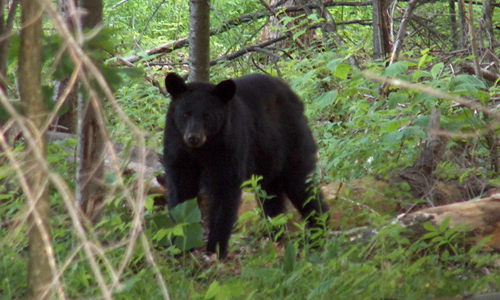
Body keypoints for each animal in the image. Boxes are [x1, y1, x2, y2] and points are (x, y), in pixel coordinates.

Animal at [164, 72, 328, 258]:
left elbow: (225, 193)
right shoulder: (177, 149)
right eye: (185, 114)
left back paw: (318, 233)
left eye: (207, 115)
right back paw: (273, 233)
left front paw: (215, 249)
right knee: (270, 194)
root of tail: (292, 93)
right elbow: (180, 193)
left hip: (291, 140)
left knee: (301, 185)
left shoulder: (229, 147)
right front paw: (178, 245)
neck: (201, 151)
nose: (193, 137)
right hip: (268, 159)